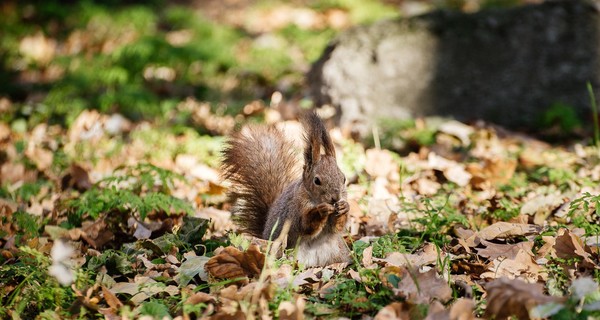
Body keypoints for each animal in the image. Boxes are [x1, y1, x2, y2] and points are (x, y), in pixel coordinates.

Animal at [221, 111, 352, 266]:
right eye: (317, 181)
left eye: (343, 178)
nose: (336, 198)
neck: (315, 199)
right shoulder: (295, 210)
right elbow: (305, 225)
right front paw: (321, 211)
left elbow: (336, 227)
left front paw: (344, 207)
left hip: (338, 251)